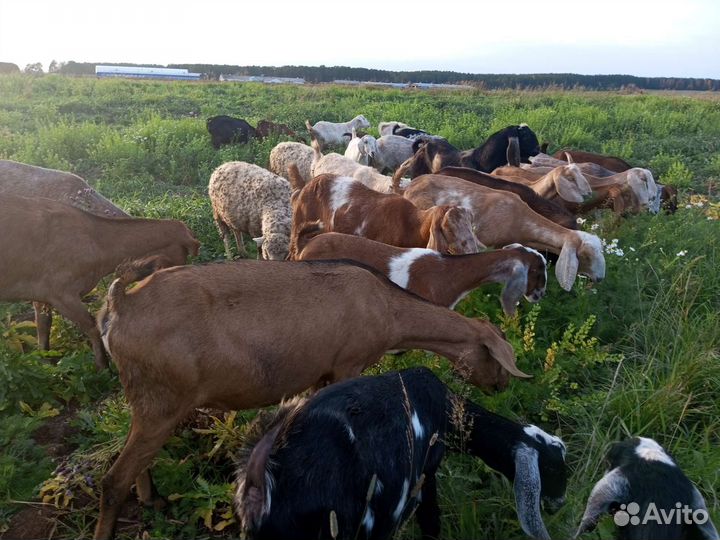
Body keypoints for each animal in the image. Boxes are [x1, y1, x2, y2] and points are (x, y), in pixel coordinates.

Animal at [0, 194, 198, 370]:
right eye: (183, 256)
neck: (96, 239)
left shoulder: (41, 293)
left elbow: (43, 326)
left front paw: (47, 362)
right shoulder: (62, 293)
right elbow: (92, 326)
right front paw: (103, 366)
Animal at [92, 257, 530, 539]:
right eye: (497, 357)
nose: (501, 387)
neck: (386, 307)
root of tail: (119, 305)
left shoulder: (319, 374)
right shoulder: (348, 363)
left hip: (147, 402)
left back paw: (152, 500)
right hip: (163, 401)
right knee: (112, 481)